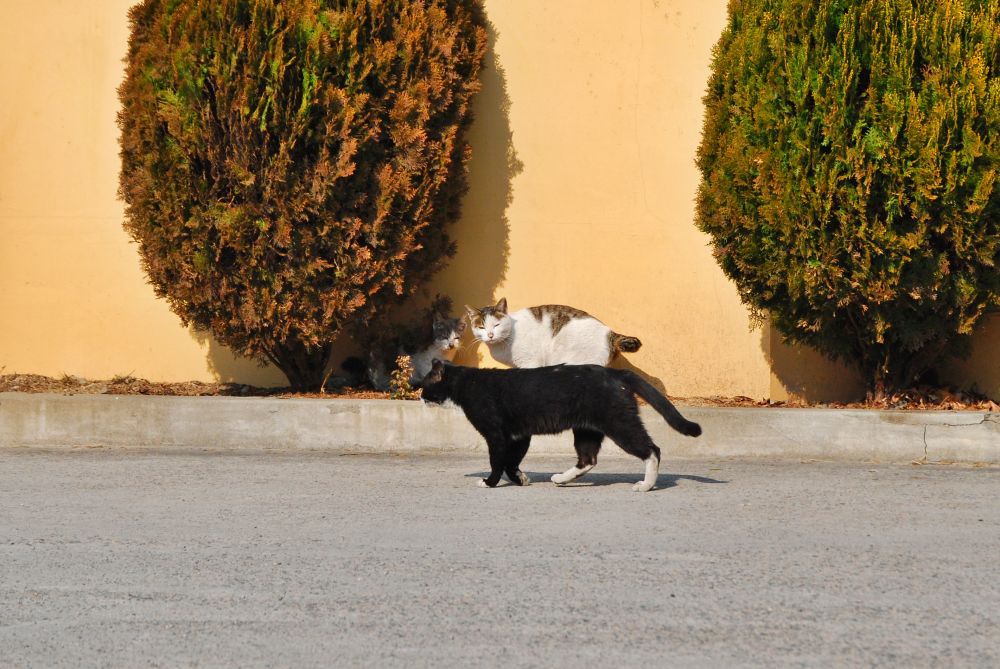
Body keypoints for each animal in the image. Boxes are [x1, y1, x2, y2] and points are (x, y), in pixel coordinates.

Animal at [420, 360, 704, 490]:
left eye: (425, 385)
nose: (420, 396)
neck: (467, 382)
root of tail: (615, 372)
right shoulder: (519, 435)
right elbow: (512, 461)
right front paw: (521, 479)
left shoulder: (496, 434)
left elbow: (497, 461)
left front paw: (489, 482)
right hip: (587, 429)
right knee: (588, 459)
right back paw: (561, 479)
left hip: (619, 422)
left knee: (652, 450)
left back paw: (645, 485)